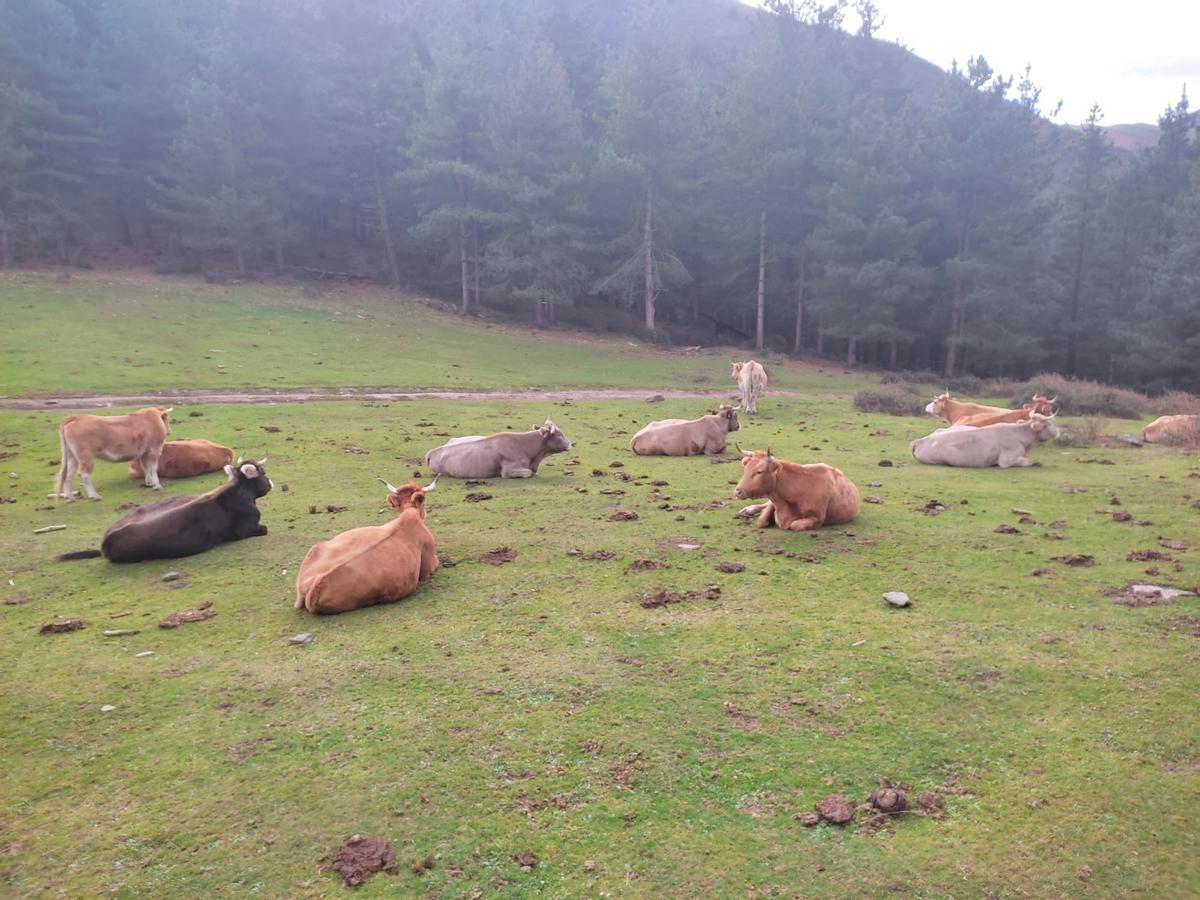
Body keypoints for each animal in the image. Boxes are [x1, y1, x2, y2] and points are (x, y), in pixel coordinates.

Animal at [57, 458, 272, 563]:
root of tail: (104, 543)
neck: (237, 493)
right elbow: (264, 529)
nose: (270, 483)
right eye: (262, 473)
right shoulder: (245, 530)